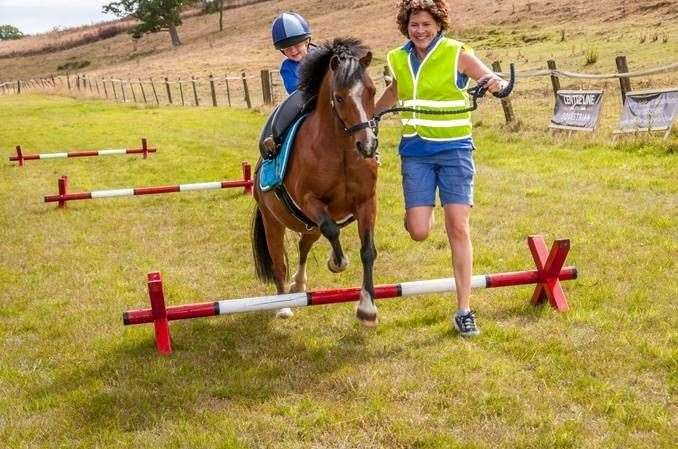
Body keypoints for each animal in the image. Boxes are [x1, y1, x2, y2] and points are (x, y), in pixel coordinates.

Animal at [251, 37, 382, 322]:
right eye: (339, 97)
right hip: (273, 221)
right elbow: (332, 229)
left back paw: (298, 285)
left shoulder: (366, 202)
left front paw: (367, 308)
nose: (367, 146)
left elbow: (368, 251)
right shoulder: (310, 200)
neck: (341, 150)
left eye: (372, 91)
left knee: (303, 245)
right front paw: (337, 262)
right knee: (279, 262)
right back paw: (283, 305)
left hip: (308, 225)